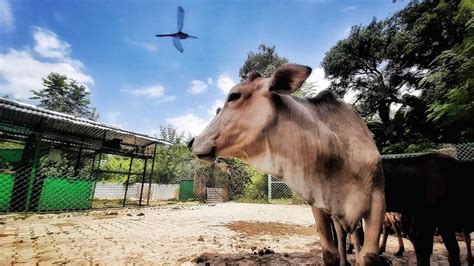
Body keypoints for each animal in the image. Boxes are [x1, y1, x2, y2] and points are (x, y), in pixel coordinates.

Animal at [189, 64, 386, 266]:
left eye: (234, 95)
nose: (192, 142)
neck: (338, 152)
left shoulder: (378, 198)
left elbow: (368, 256)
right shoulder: (318, 203)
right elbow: (330, 253)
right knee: (341, 234)